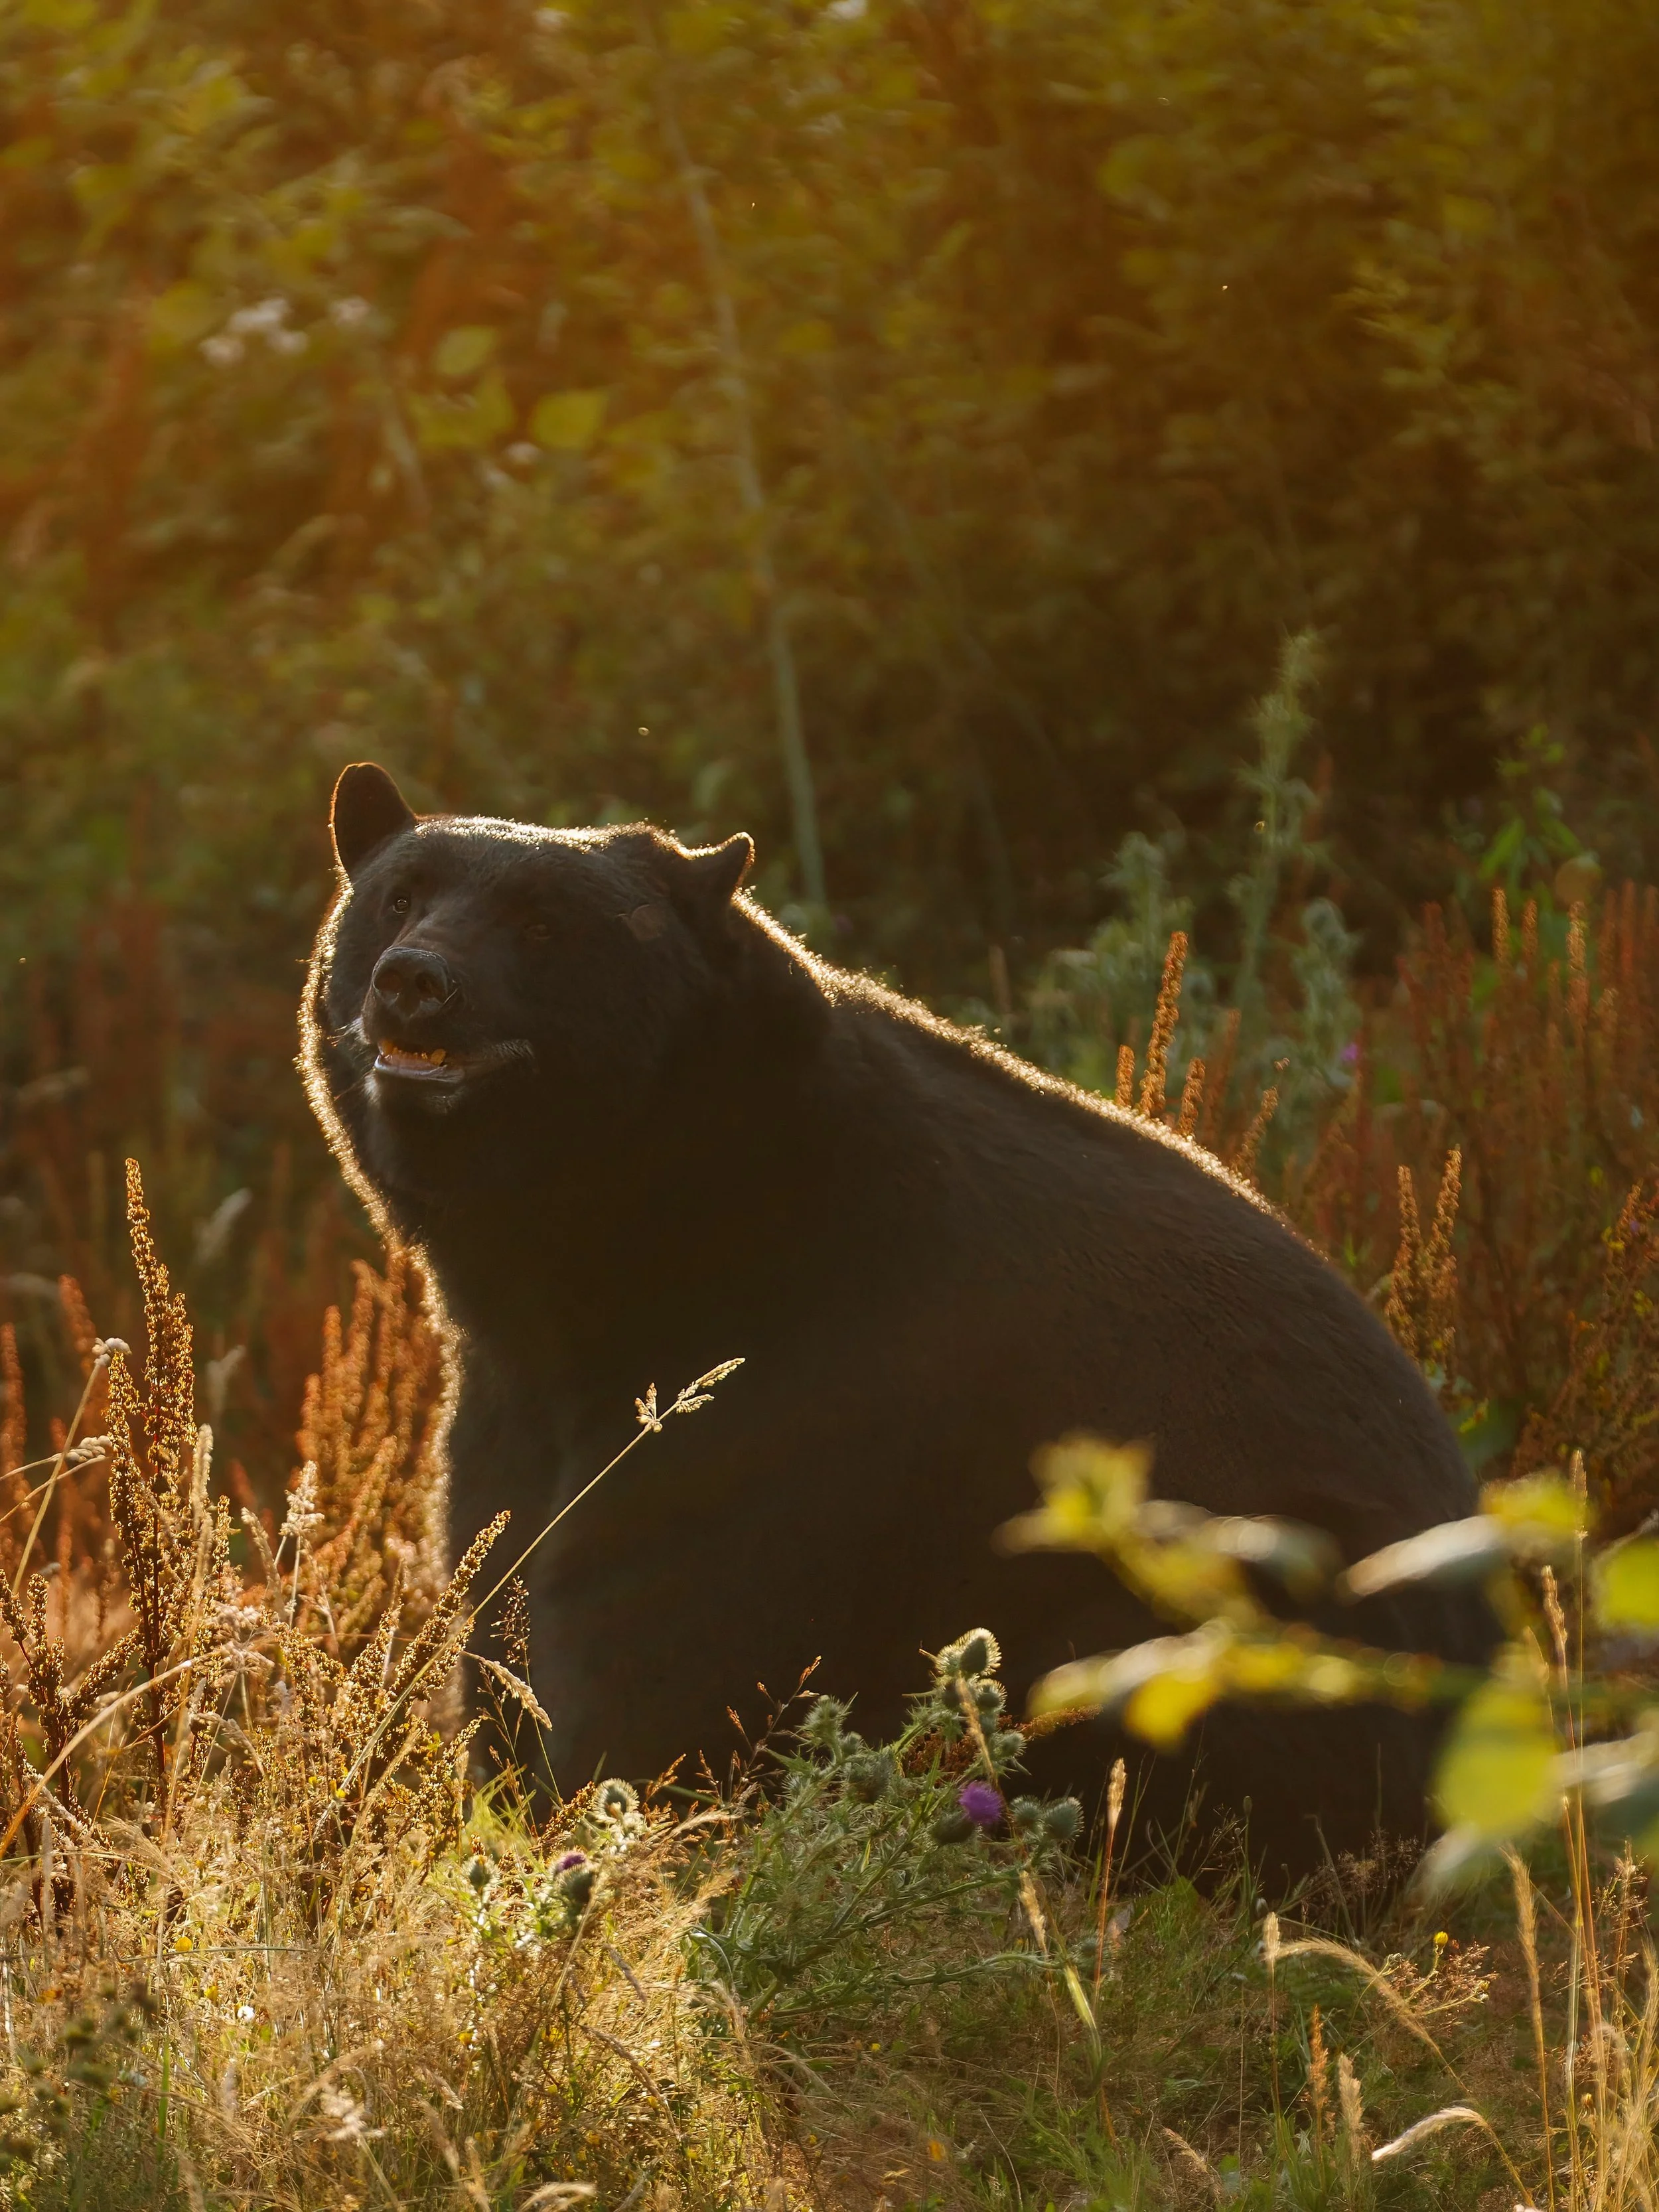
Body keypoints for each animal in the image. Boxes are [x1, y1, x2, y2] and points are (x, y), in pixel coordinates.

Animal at [302, 761, 1498, 1881]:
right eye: (399, 895)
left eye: (544, 924)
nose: (414, 983)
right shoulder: (514, 1402)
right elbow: (501, 1589)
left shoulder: (801, 1397)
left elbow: (657, 1643)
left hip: (1234, 1591)